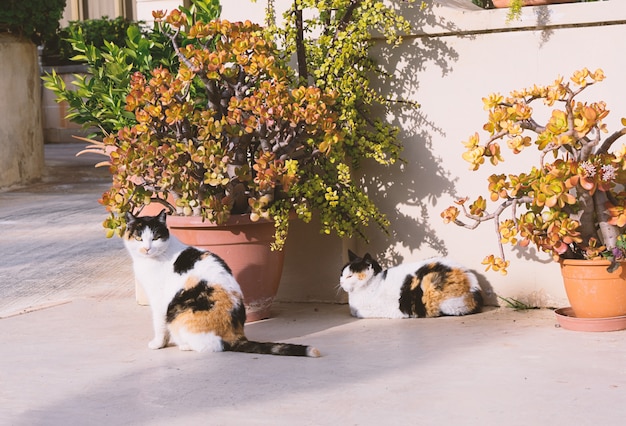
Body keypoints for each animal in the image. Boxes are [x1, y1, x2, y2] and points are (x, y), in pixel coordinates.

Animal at [122, 211, 320, 358]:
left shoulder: (159, 300)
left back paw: (185, 345)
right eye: (139, 238)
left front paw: (157, 344)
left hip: (179, 314)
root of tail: (236, 334)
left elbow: (159, 324)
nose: (147, 248)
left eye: (155, 237)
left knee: (211, 346)